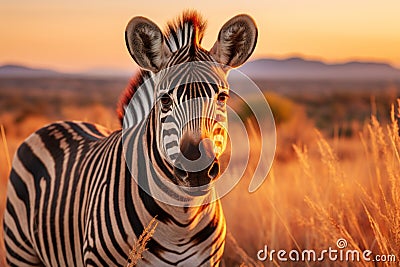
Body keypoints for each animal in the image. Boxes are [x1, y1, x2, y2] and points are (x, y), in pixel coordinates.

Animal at [3, 11, 256, 267]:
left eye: (222, 97)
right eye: (165, 100)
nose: (197, 171)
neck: (182, 220)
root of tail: (58, 123)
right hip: (20, 249)